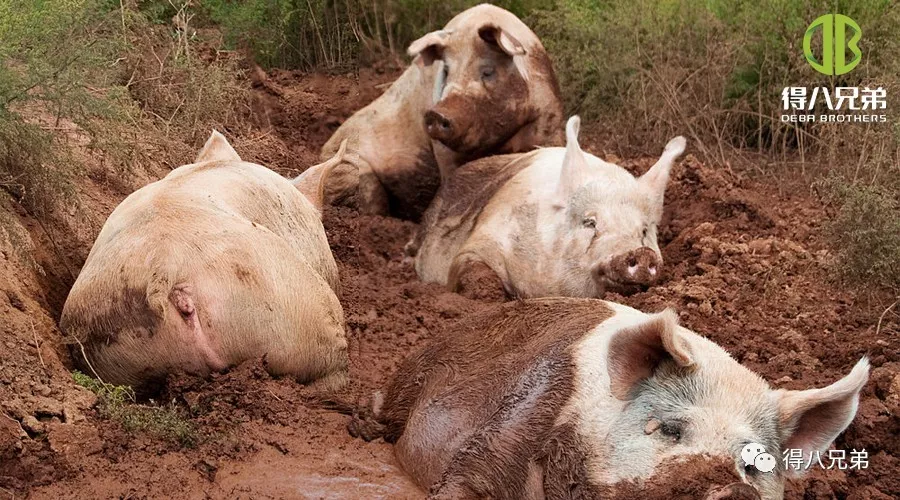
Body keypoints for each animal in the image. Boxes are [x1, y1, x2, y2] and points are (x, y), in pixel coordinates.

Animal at [321, 3, 564, 219]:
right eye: (446, 71)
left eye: (488, 71)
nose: (436, 114)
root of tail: (322, 151)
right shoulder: (443, 151)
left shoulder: (549, 121)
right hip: (352, 168)